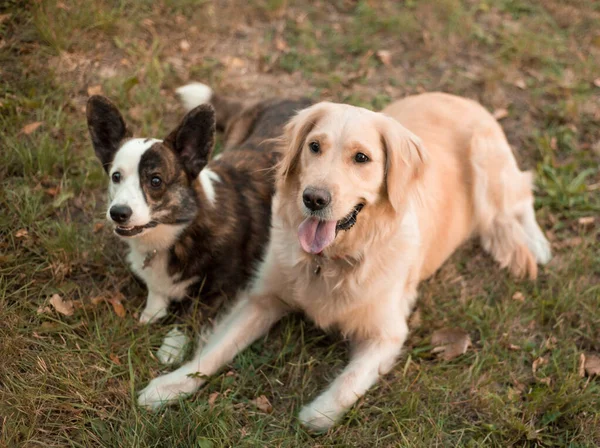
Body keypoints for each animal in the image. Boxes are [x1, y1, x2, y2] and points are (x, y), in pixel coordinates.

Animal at [138, 91, 552, 430]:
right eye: (314, 147)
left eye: (361, 158)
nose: (313, 199)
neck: (330, 261)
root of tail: (465, 99)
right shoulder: (262, 298)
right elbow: (215, 350)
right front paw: (169, 387)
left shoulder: (388, 333)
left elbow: (344, 389)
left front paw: (315, 412)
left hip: (488, 165)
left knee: (520, 196)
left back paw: (537, 245)